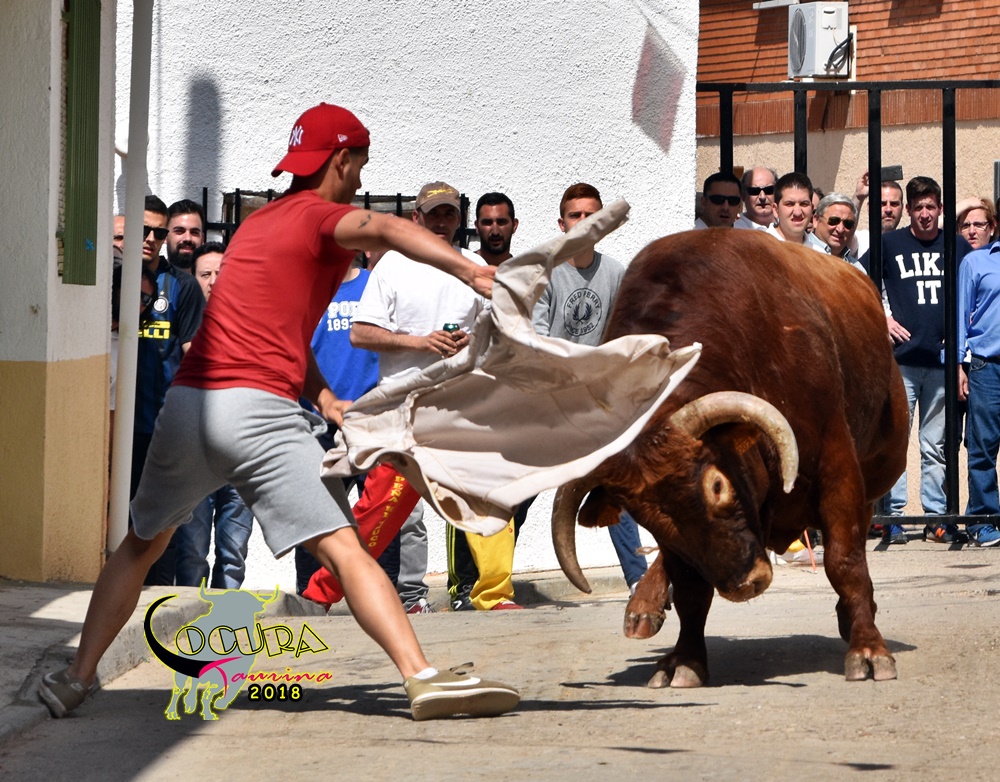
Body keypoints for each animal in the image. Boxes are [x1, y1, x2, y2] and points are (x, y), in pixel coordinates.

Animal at [551, 228, 909, 688]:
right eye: (644, 517)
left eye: (717, 485)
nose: (746, 583)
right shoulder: (681, 545)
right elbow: (690, 589)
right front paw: (684, 660)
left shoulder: (837, 465)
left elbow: (845, 561)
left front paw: (868, 649)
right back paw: (643, 606)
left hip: (879, 468)